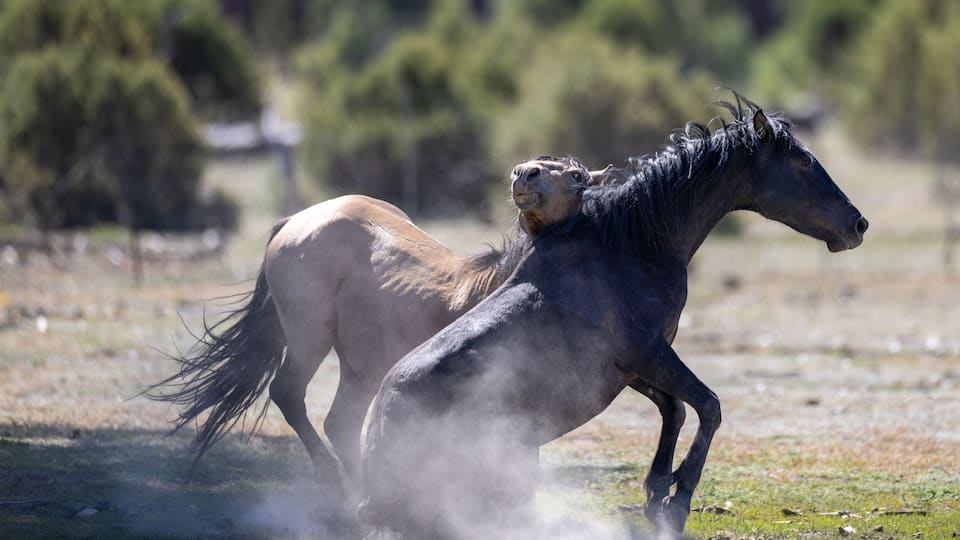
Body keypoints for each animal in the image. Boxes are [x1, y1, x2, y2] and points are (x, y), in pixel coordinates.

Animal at [147, 155, 594, 513]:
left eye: (578, 174)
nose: (524, 174)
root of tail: (299, 219)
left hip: (357, 366)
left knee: (339, 422)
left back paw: (365, 492)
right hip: (309, 338)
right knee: (289, 394)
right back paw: (340, 486)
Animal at [358, 99, 869, 539]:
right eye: (803, 162)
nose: (857, 224)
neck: (631, 243)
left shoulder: (630, 367)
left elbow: (675, 409)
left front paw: (657, 492)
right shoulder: (647, 352)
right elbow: (709, 406)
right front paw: (678, 500)